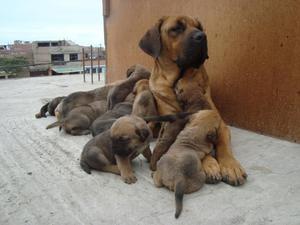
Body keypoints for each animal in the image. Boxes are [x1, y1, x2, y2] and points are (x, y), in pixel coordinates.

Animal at [139, 15, 247, 186]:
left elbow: (224, 146)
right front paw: (210, 165)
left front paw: (230, 166)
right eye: (176, 28)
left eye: (199, 28)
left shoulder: (220, 124)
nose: (201, 36)